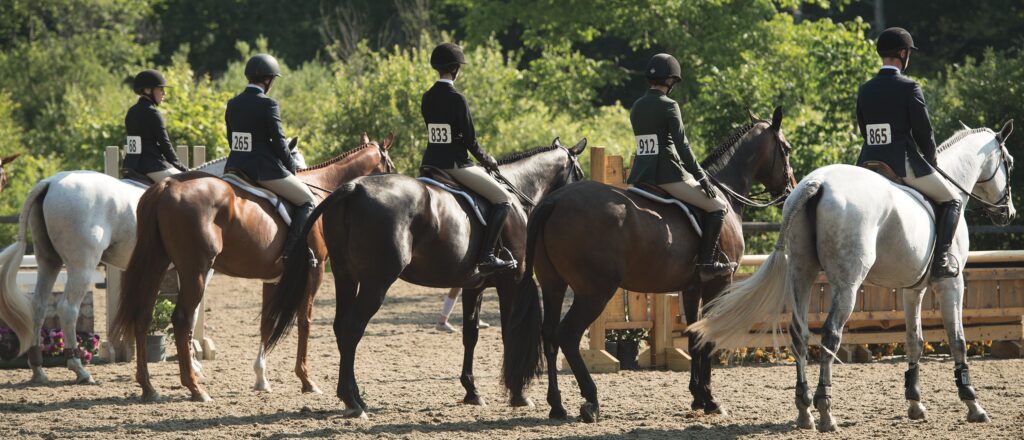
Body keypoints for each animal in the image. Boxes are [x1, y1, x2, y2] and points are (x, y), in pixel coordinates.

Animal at [0, 142, 305, 382]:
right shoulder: (201, 270)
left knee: (39, 305)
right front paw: (193, 365)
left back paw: (38, 370)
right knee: (67, 308)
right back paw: (80, 370)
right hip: (82, 265)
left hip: (48, 260)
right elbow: (192, 312)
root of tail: (50, 182)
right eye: (294, 162)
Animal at [110, 133, 393, 403]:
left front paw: (261, 379)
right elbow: (305, 322)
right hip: (195, 270)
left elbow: (266, 323)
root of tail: (166, 186)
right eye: (389, 165)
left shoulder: (273, 278)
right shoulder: (316, 271)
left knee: (143, 315)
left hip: (156, 265)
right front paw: (307, 381)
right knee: (181, 319)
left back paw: (149, 387)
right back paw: (195, 387)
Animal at [516, 107, 794, 423]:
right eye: (786, 149)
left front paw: (698, 397)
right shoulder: (718, 283)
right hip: (594, 292)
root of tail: (554, 202)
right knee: (568, 335)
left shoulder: (692, 286)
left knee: (549, 334)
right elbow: (708, 335)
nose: (789, 189)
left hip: (553, 284)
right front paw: (711, 401)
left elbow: (694, 334)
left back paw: (557, 405)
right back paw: (591, 401)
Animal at [692, 122, 1011, 431]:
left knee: (799, 333)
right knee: (831, 334)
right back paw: (825, 412)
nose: (1007, 213)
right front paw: (973, 404)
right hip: (847, 284)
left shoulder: (912, 289)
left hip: (801, 273)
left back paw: (804, 411)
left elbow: (914, 340)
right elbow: (958, 340)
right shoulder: (951, 283)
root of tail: (817, 183)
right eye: (1008, 161)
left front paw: (915, 403)